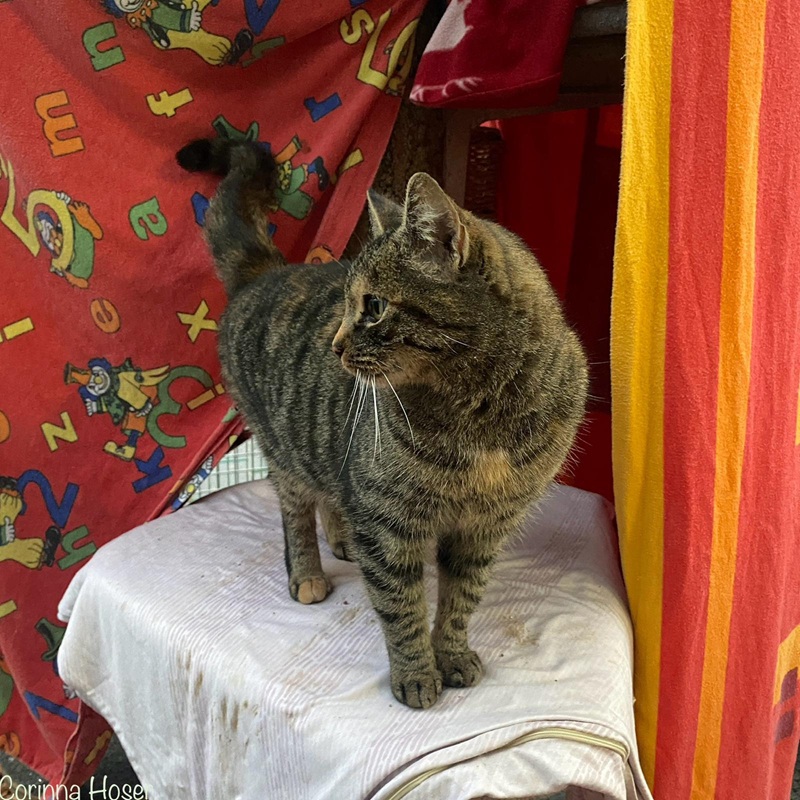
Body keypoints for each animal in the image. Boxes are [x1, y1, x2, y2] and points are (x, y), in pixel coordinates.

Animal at [177, 138, 588, 709]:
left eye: (372, 306)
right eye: (347, 304)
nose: (335, 344)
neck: (480, 413)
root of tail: (268, 271)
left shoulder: (485, 526)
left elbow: (462, 599)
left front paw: (451, 655)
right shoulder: (388, 522)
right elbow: (402, 607)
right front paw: (416, 674)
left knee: (332, 495)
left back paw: (343, 538)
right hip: (285, 451)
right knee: (295, 513)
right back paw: (307, 572)